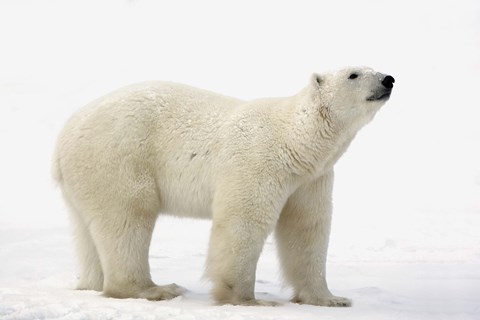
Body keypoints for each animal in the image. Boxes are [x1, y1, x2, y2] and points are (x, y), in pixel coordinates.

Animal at [52, 66, 394, 306]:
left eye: (374, 66)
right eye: (353, 74)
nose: (388, 79)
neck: (295, 141)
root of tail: (63, 136)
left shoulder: (311, 179)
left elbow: (307, 228)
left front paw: (330, 299)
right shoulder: (259, 161)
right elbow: (244, 220)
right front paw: (247, 299)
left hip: (83, 177)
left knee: (88, 230)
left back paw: (92, 282)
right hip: (119, 156)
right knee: (128, 216)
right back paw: (154, 289)